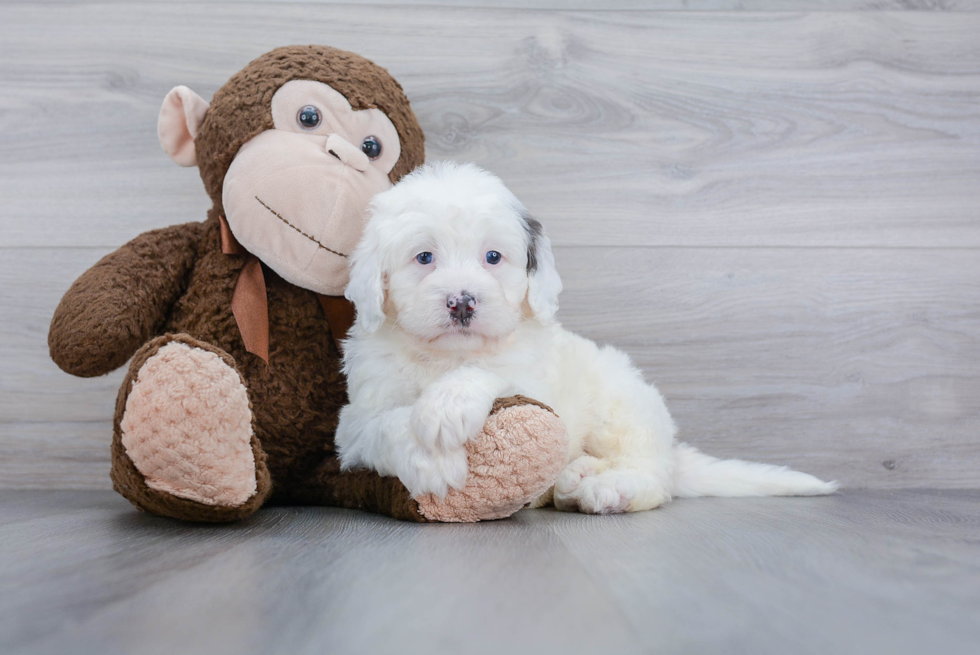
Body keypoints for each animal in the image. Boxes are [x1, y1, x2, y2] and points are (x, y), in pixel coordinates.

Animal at [334, 163, 836, 512]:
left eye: (493, 257)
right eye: (424, 257)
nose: (462, 302)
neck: (446, 357)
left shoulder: (532, 380)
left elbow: (492, 373)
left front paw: (447, 405)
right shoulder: (354, 420)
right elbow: (384, 425)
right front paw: (431, 460)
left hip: (623, 403)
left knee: (652, 477)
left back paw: (606, 487)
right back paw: (572, 480)